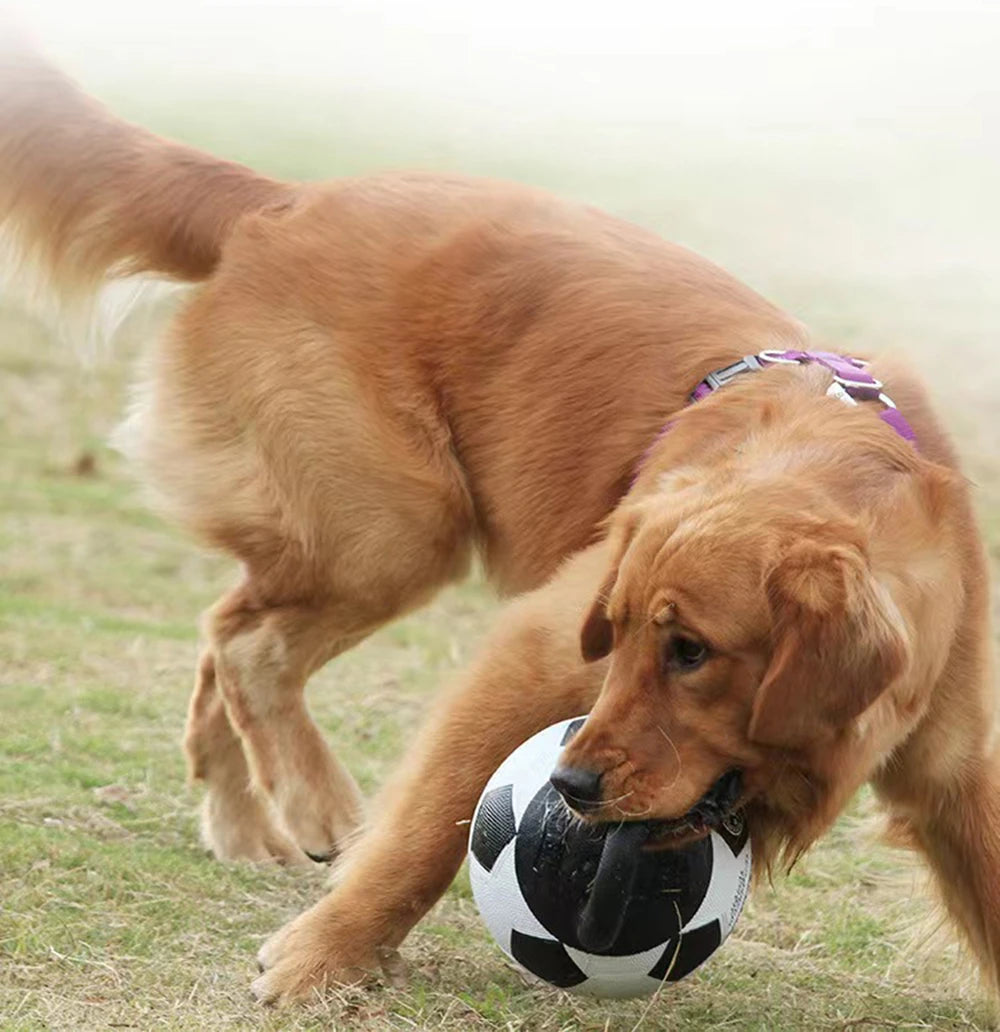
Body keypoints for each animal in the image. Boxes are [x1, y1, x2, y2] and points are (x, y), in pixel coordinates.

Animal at [3, 36, 994, 1003]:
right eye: (620, 632)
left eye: (692, 652)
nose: (571, 783)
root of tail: (281, 201)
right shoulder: (536, 656)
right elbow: (431, 828)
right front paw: (325, 955)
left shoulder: (957, 766)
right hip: (396, 528)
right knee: (249, 642)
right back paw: (313, 804)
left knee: (225, 628)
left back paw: (242, 818)